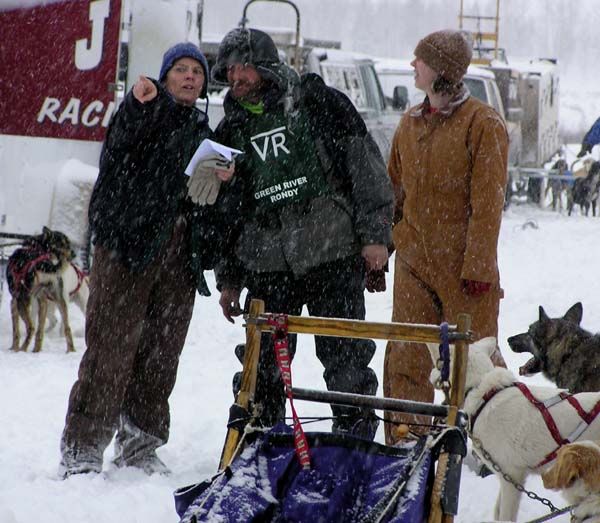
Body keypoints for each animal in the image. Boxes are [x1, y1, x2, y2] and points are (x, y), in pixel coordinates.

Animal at [432, 338, 600, 520]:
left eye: (438, 362)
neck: (483, 394)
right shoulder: (504, 476)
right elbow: (497, 513)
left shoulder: (512, 477)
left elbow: (505, 516)